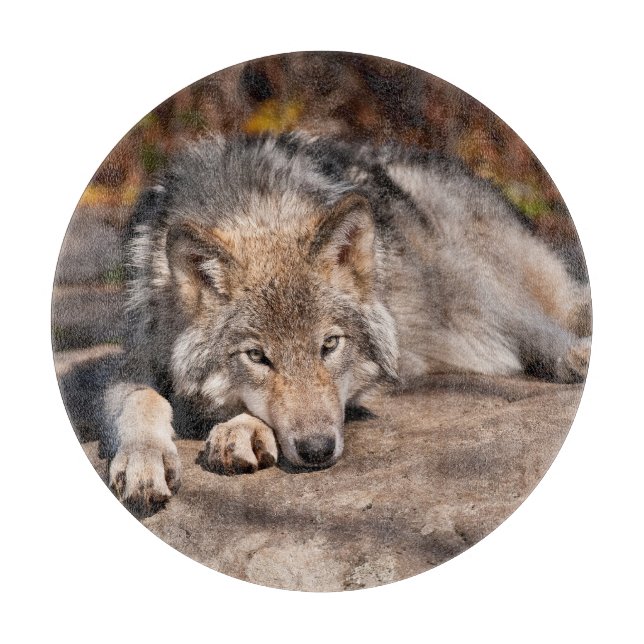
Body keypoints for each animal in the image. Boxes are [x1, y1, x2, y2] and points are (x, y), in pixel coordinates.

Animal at [102, 132, 591, 513]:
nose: (318, 450)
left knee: (535, 323)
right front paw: (143, 461)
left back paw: (574, 357)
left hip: (465, 281)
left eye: (330, 345)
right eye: (257, 356)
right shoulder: (134, 356)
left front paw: (239, 429)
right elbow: (139, 398)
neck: (256, 209)